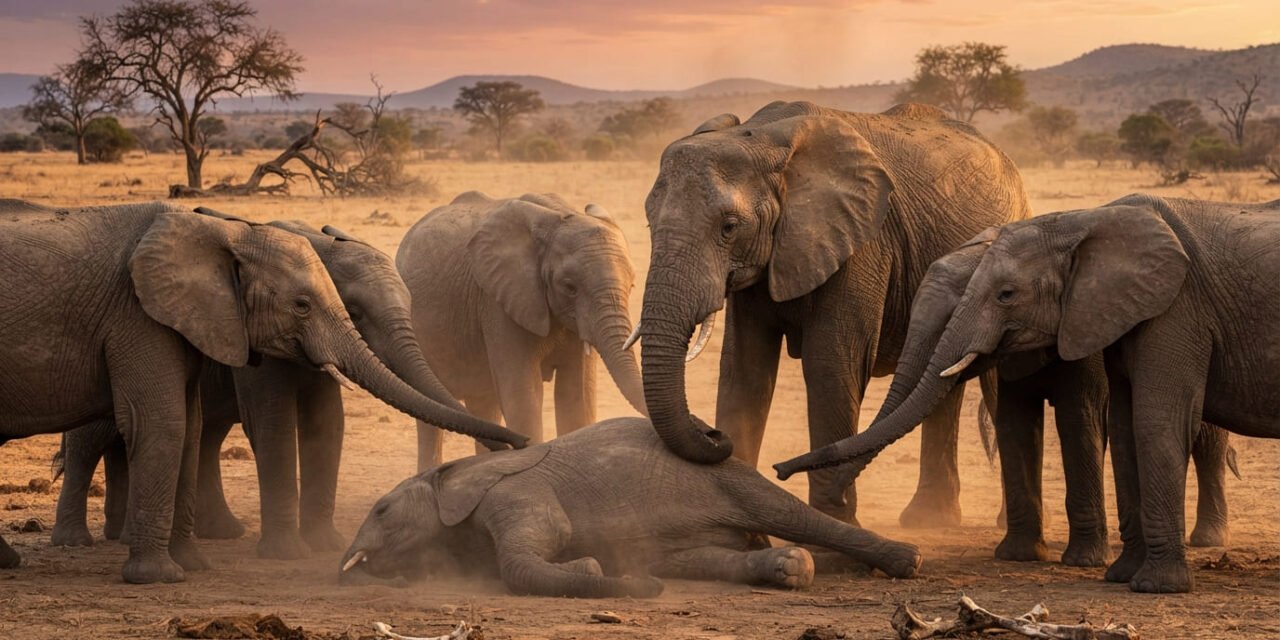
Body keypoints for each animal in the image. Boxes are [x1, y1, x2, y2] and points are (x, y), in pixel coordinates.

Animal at [0, 200, 524, 583]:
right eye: (351, 311)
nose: (519, 442)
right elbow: (267, 424)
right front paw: (285, 555)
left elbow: (324, 424)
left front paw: (322, 546)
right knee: (93, 441)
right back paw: (77, 543)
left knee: (200, 436)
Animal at [338, 417, 922, 598]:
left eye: (383, 510)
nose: (649, 588)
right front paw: (599, 568)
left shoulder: (516, 491)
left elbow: (529, 554)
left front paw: (591, 567)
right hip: (687, 544)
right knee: (702, 559)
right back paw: (788, 569)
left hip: (727, 475)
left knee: (784, 513)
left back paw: (906, 560)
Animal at [397, 192, 647, 470]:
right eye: (569, 287)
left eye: (632, 285)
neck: (559, 216)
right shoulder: (498, 302)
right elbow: (525, 396)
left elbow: (576, 395)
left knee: (484, 402)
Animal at [632, 100, 1031, 526]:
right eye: (649, 221)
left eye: (729, 227)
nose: (713, 435)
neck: (767, 138)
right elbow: (745, 368)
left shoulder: (862, 242)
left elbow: (831, 365)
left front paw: (835, 527)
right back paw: (928, 521)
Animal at [776, 194, 1280, 592]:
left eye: (1005, 295)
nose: (781, 469)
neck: (1079, 223)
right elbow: (1029, 424)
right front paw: (1032, 559)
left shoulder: (1161, 314)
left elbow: (1110, 420)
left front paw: (1133, 580)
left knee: (1205, 441)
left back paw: (1208, 542)